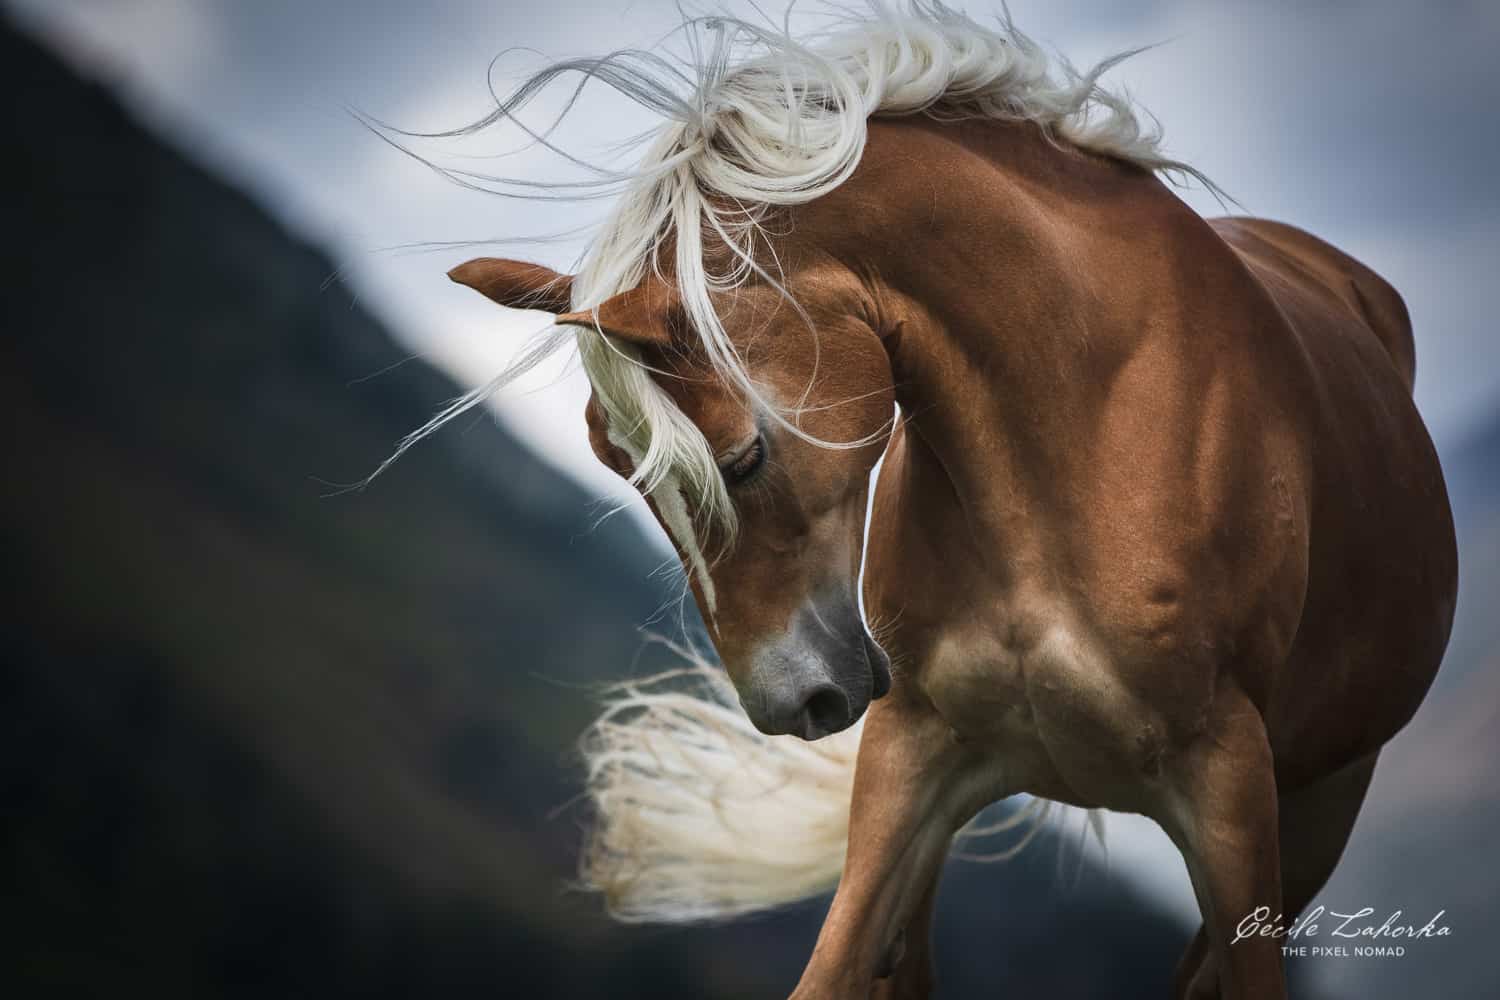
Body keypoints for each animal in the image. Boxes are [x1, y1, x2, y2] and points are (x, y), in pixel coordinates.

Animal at [432, 3, 1452, 995]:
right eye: (616, 465)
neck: (1087, 424)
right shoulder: (911, 757)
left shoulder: (1234, 790)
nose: (786, 704)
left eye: (744, 457)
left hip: (1321, 805)